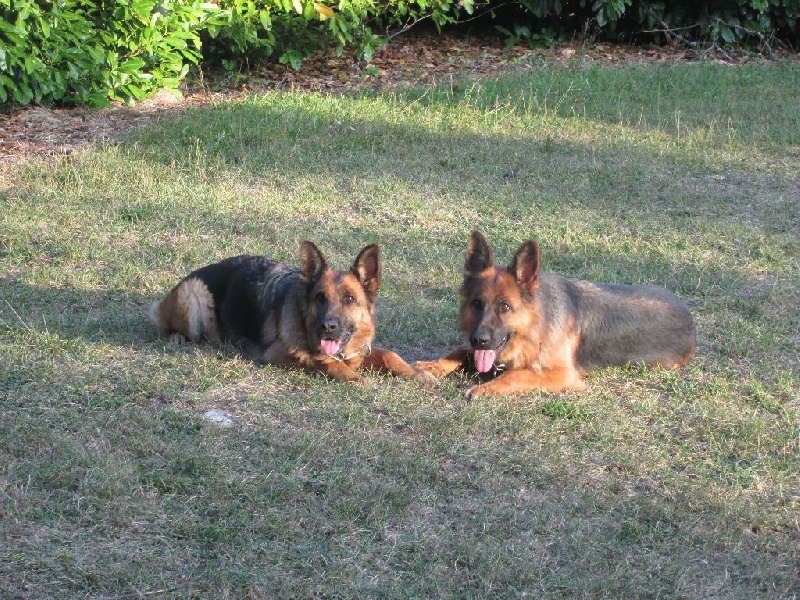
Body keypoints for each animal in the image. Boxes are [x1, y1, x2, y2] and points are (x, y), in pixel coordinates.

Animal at [150, 241, 432, 382]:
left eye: (350, 299)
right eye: (320, 297)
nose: (328, 327)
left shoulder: (360, 352)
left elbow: (390, 355)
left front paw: (417, 373)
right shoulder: (279, 353)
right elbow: (324, 361)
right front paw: (355, 378)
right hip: (194, 294)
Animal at [416, 232, 696, 396]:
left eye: (505, 306)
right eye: (476, 303)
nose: (479, 340)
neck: (532, 329)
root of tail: (690, 319)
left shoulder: (562, 373)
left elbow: (517, 373)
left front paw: (486, 388)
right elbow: (457, 352)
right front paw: (430, 364)